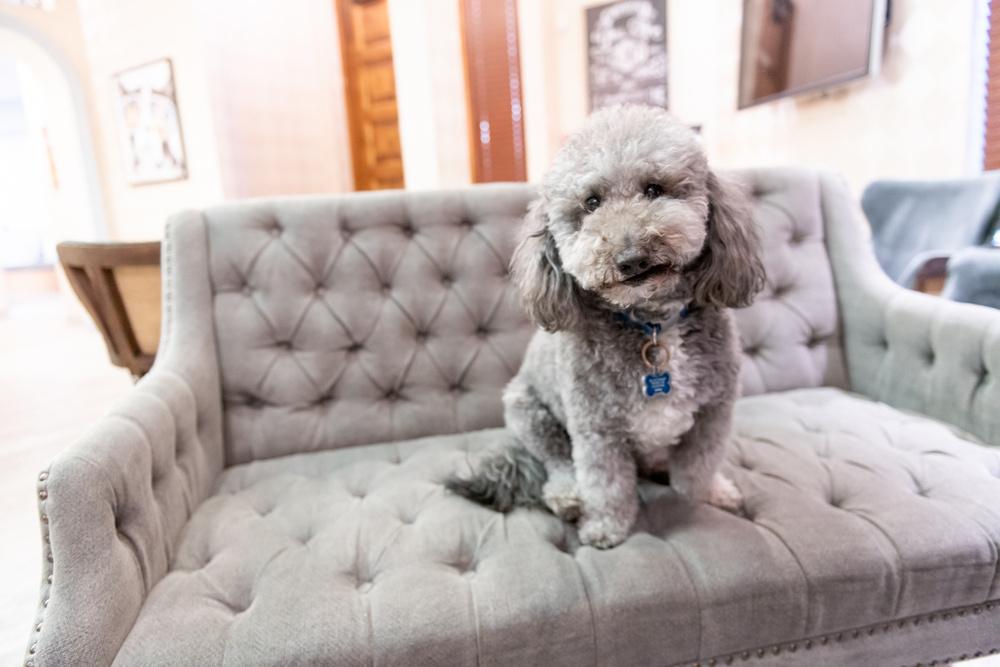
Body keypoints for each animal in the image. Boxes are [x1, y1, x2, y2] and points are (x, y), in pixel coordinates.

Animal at [447, 105, 765, 549]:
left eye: (653, 189)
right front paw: (606, 528)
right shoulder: (597, 429)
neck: (652, 325)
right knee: (557, 463)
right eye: (591, 202)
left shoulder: (712, 414)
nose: (631, 258)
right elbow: (607, 484)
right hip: (527, 411)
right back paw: (567, 497)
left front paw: (708, 494)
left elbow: (698, 468)